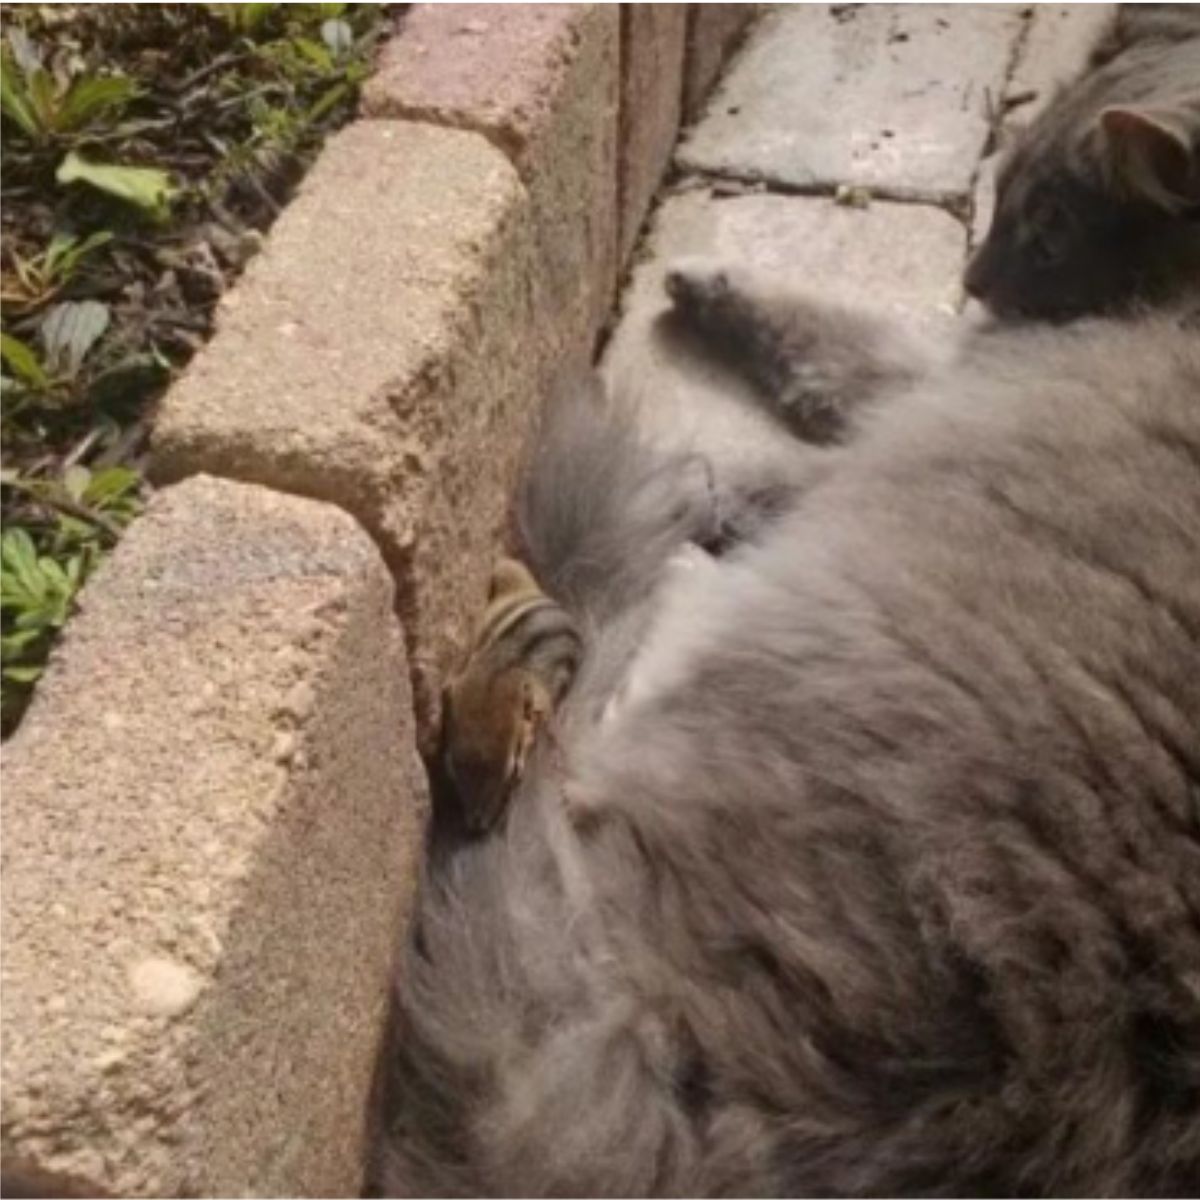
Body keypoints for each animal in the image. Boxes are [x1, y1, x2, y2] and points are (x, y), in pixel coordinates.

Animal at [376, 7, 1200, 1190]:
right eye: (997, 191)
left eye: (1046, 232)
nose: (978, 279)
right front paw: (709, 292)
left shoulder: (959, 380)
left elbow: (836, 370)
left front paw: (716, 410)